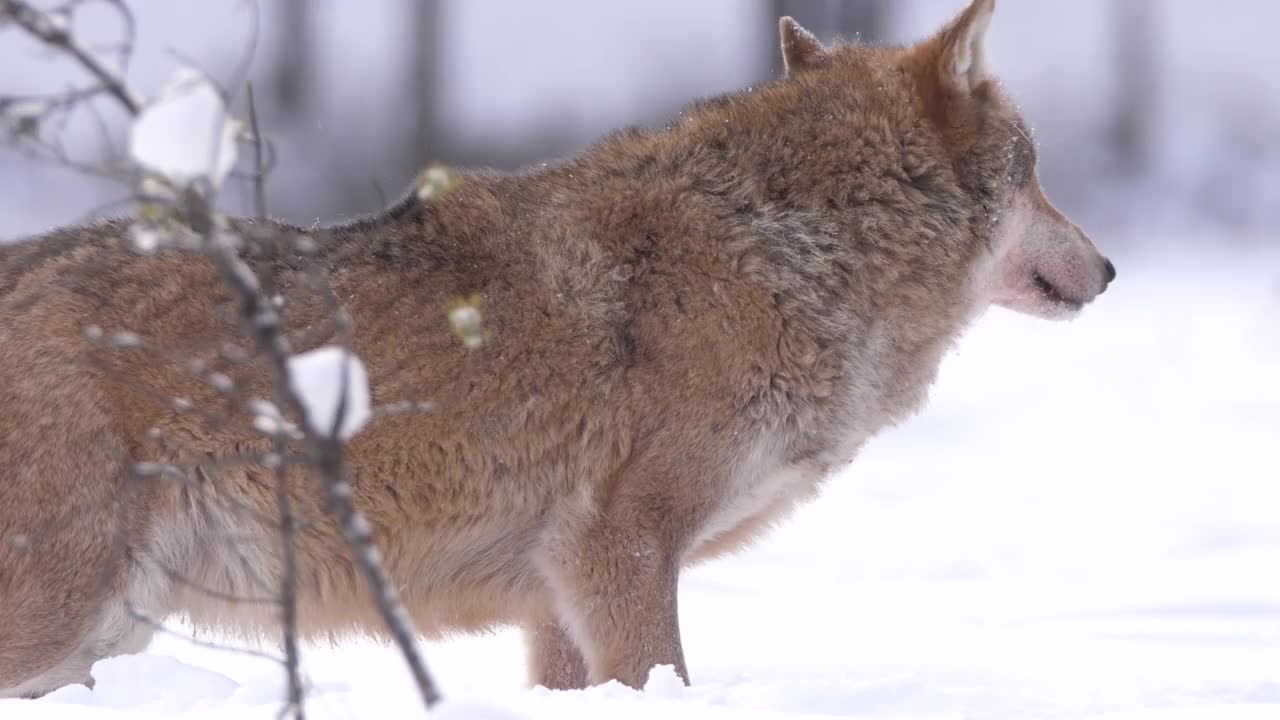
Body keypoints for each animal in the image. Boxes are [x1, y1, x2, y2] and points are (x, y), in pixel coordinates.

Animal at [0, 0, 1111, 696]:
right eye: (1035, 171)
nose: (1106, 270)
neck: (788, 250)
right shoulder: (620, 551)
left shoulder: (549, 603)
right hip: (64, 622)